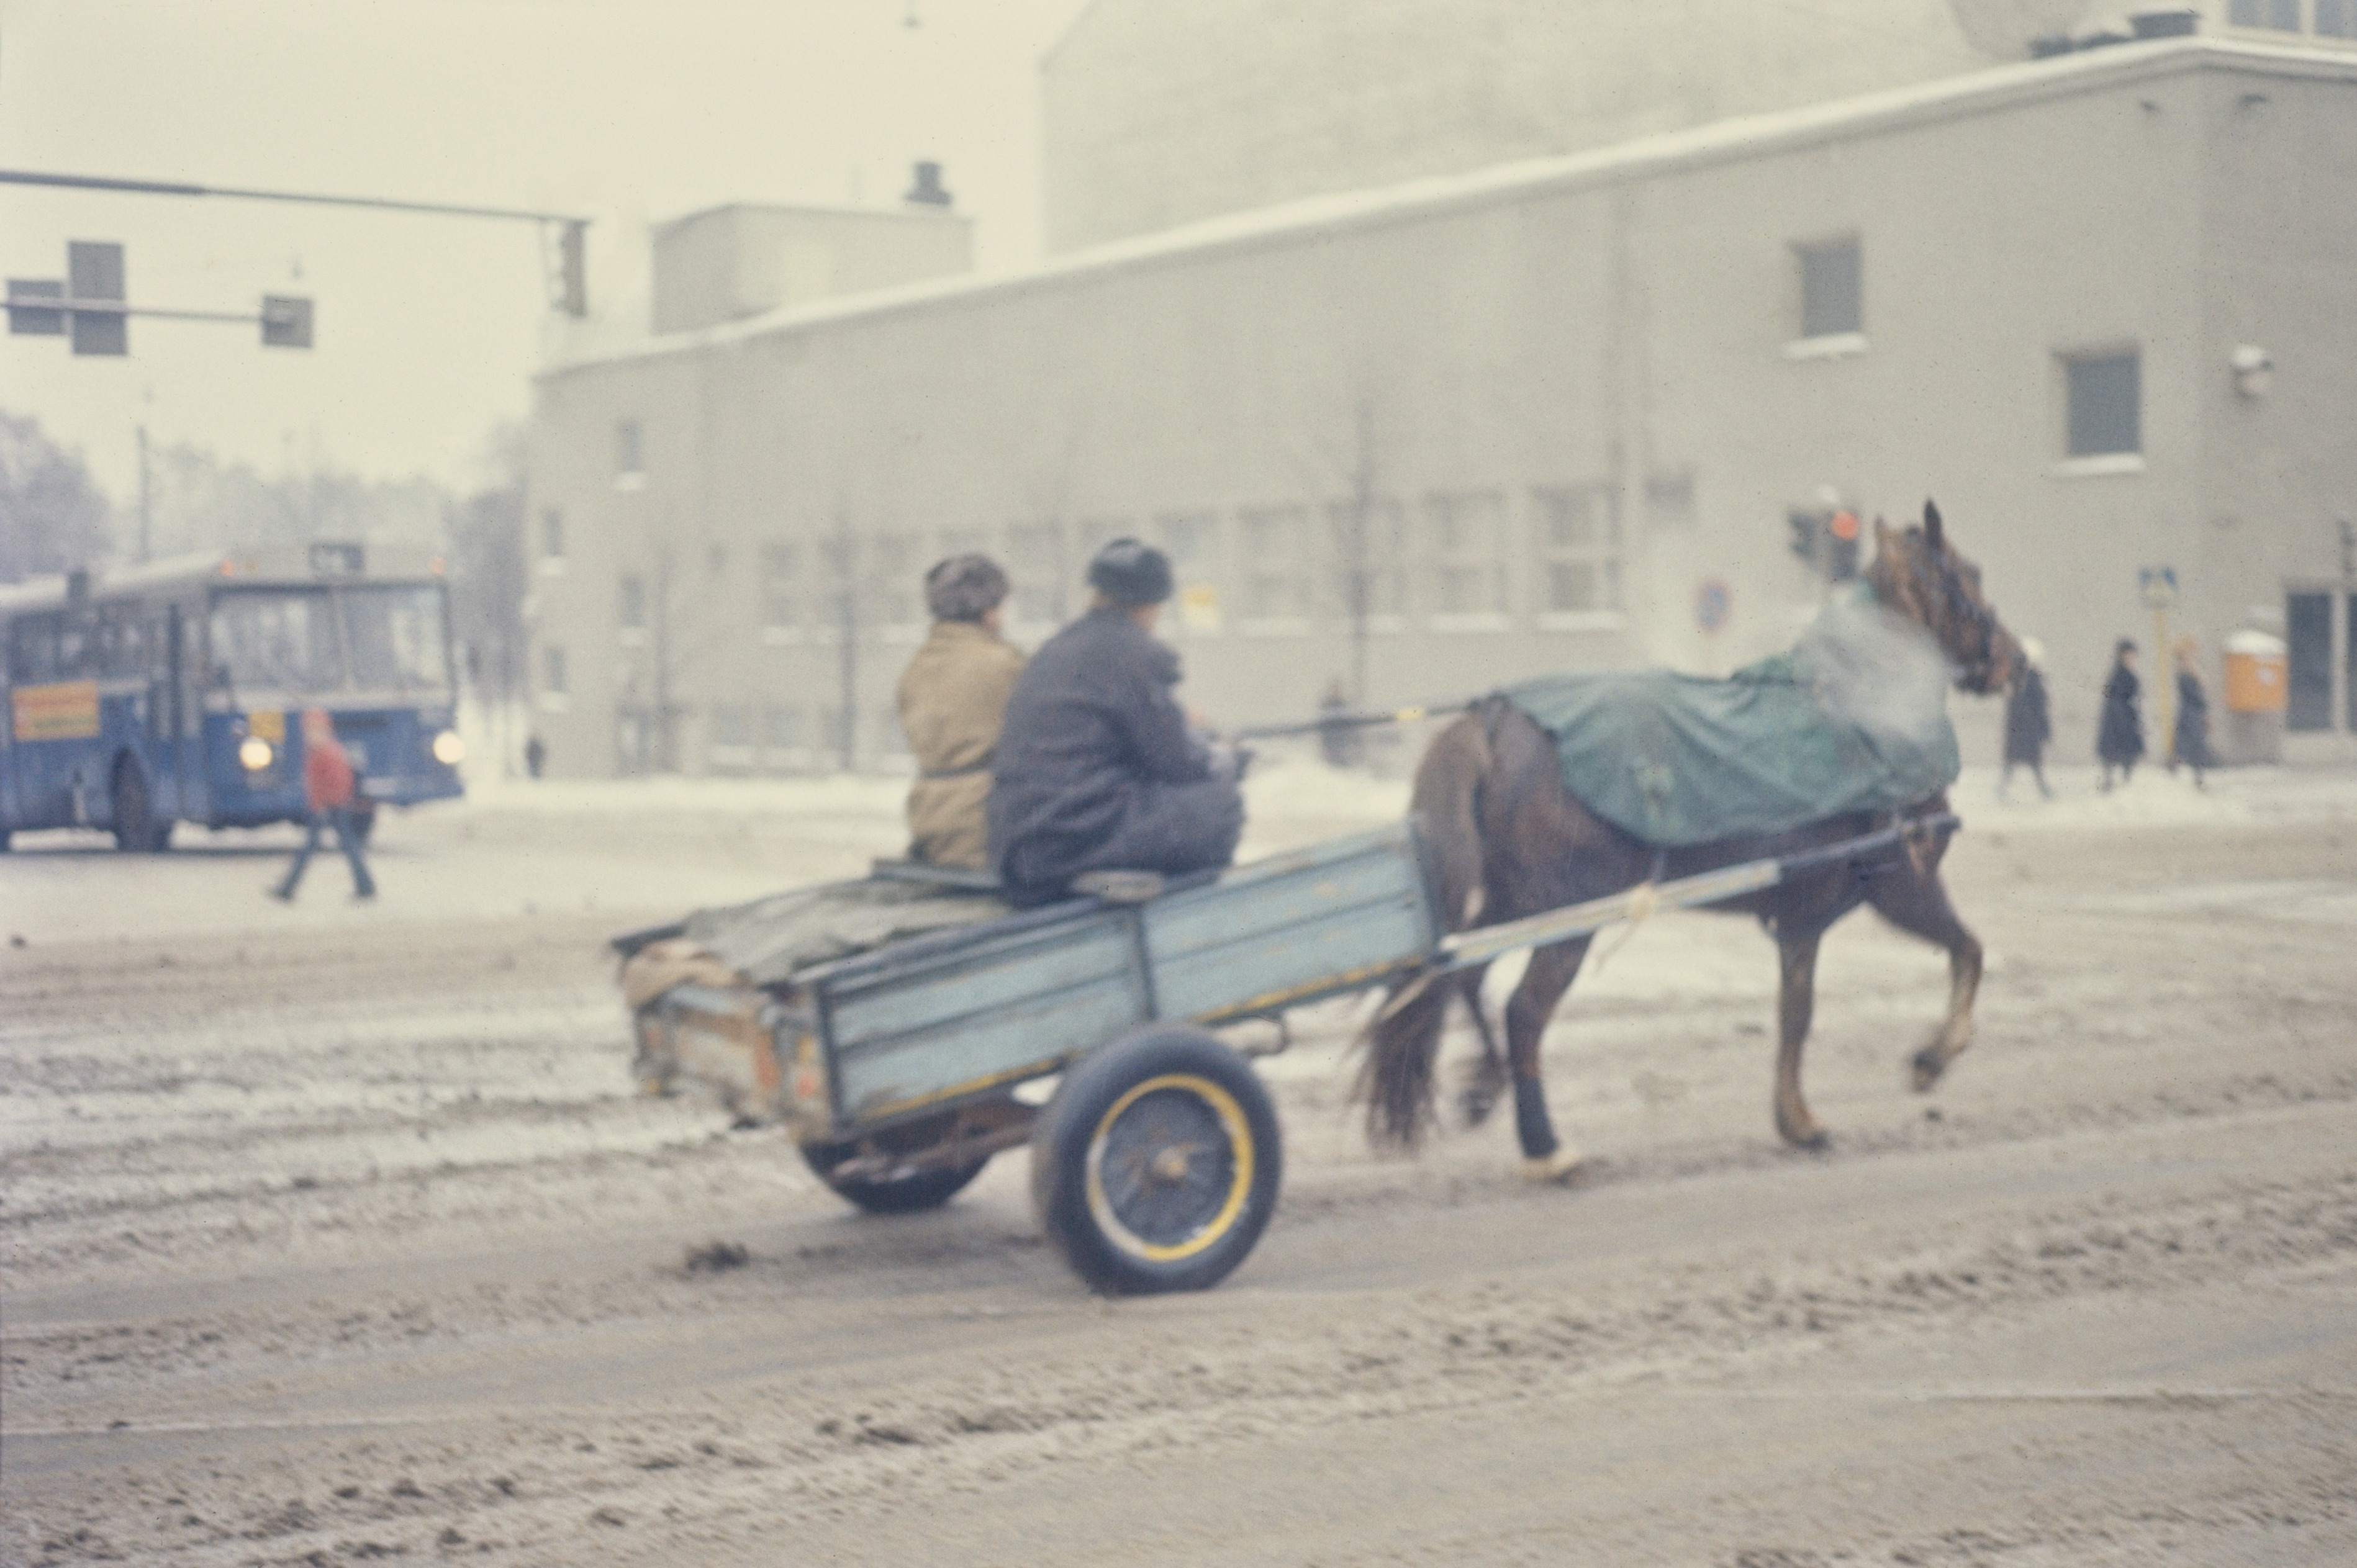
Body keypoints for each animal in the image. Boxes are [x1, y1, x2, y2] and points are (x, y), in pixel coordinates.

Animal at [1367, 502, 2027, 1174]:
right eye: (1969, 576)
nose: (2017, 662)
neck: (1863, 711)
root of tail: (1495, 721)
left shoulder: (1801, 918)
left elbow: (1795, 1014)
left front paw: (1796, 1119)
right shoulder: (1901, 888)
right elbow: (1968, 951)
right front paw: (1932, 1056)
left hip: (1514, 903)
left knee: (1463, 978)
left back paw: (1487, 1087)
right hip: (1566, 914)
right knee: (1523, 1011)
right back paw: (1545, 1145)